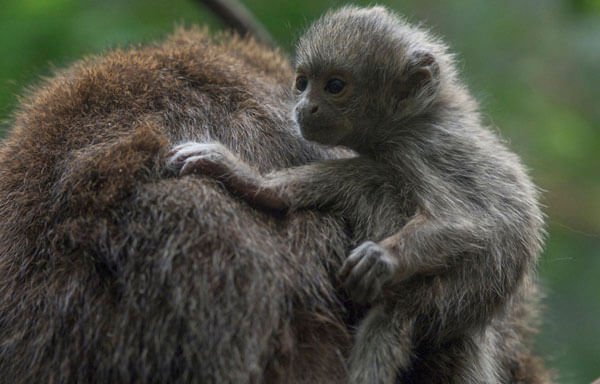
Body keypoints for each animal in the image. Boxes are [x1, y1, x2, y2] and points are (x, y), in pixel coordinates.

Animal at [168, 6, 544, 384]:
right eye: (302, 82)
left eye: (334, 86)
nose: (304, 106)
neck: (415, 118)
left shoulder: (418, 148)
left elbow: (462, 222)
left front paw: (383, 258)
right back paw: (262, 187)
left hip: (442, 292)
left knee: (374, 181)